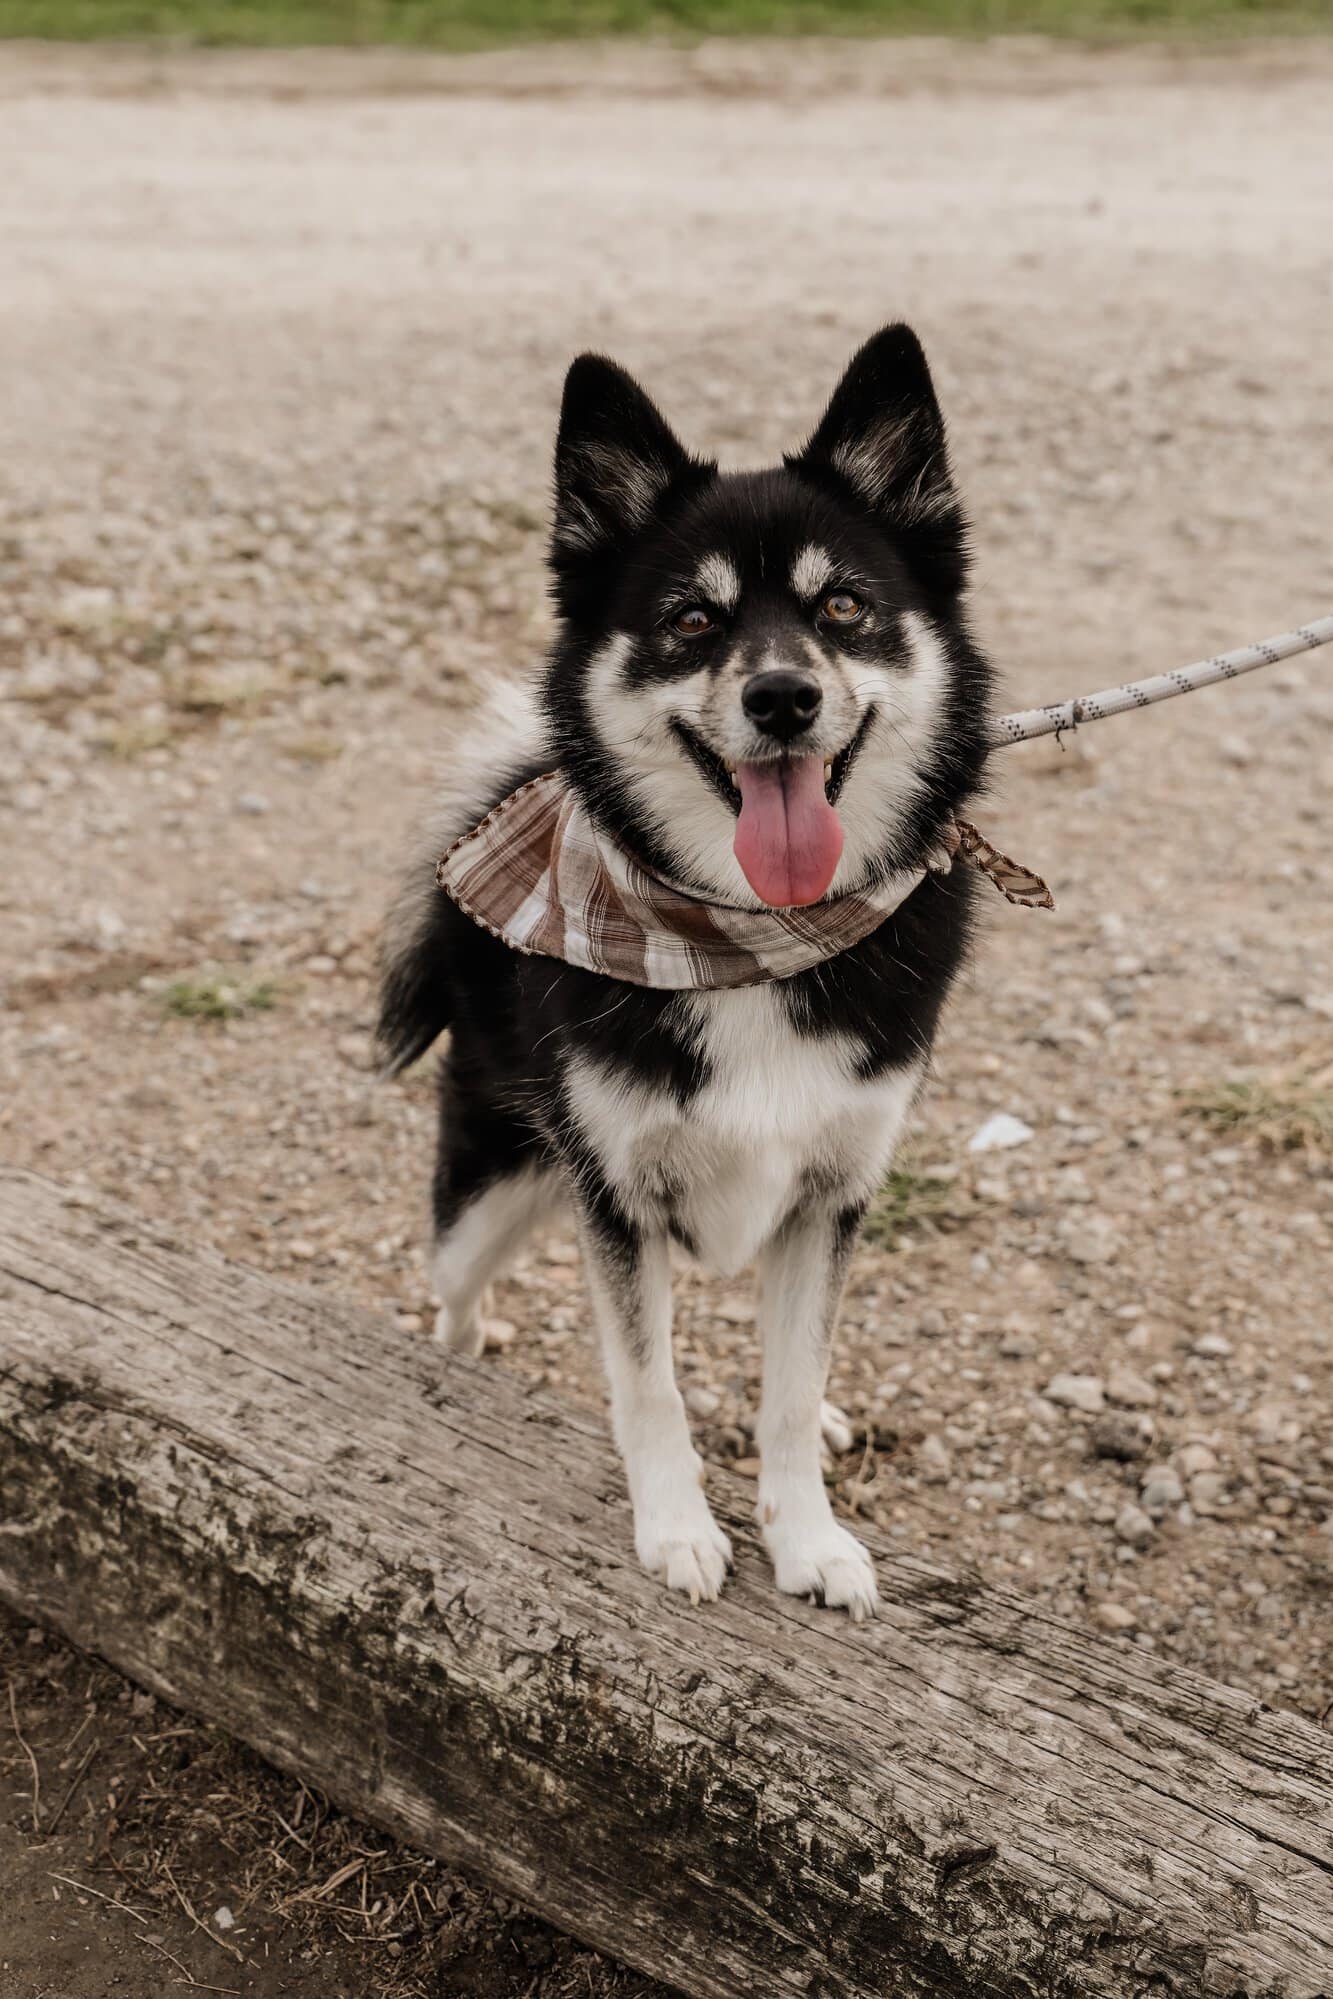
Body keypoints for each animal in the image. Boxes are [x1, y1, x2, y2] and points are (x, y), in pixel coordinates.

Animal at [375, 319, 991, 1615]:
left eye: (845, 605)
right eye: (692, 622)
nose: (783, 695)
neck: (742, 936)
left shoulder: (829, 1191)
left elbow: (791, 1385)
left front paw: (809, 1534)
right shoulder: (616, 1195)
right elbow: (647, 1379)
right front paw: (676, 1528)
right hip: (490, 1186)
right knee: (455, 1296)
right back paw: (468, 1364)